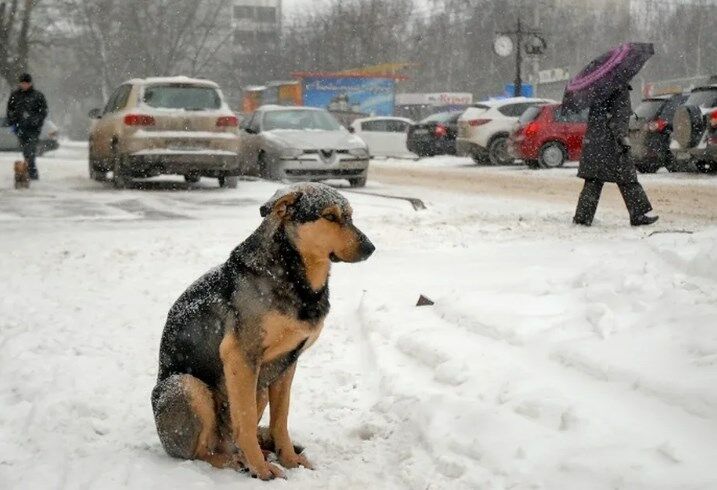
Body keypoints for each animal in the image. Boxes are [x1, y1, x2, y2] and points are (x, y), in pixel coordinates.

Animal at [151, 182, 374, 480]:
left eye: (350, 216)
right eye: (329, 216)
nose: (371, 248)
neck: (293, 275)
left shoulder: (287, 362)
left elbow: (281, 420)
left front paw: (289, 459)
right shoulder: (240, 356)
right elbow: (244, 422)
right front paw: (261, 468)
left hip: (260, 384)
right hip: (186, 385)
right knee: (203, 452)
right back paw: (237, 461)